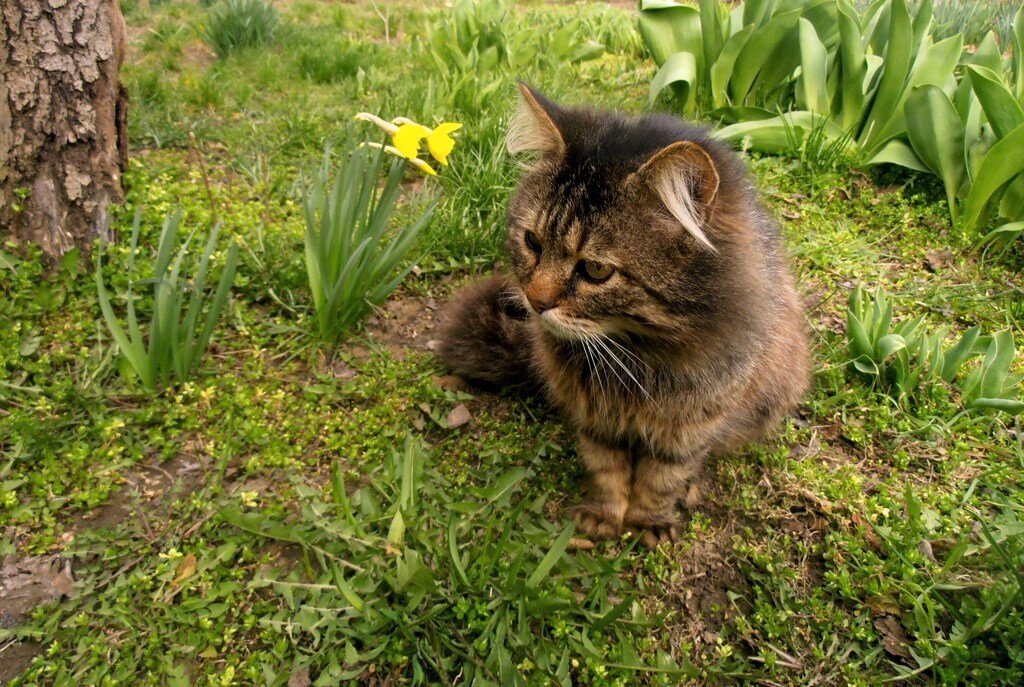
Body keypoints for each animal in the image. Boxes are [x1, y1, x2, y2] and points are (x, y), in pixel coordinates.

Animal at [436, 86, 811, 548]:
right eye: (532, 242)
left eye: (596, 270)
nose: (535, 301)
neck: (634, 354)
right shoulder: (592, 418)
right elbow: (605, 468)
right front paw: (607, 515)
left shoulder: (694, 425)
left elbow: (663, 478)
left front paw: (648, 521)